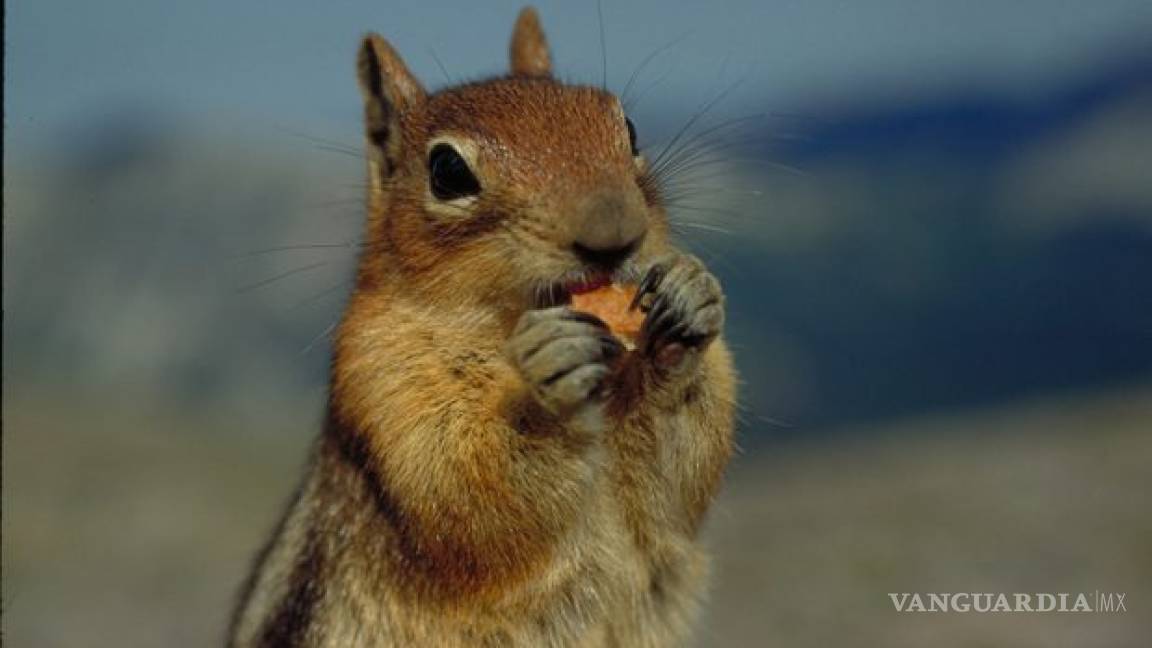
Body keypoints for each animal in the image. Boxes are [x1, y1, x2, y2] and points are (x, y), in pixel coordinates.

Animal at [231, 6, 737, 645]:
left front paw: (687, 305)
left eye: (628, 127)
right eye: (447, 170)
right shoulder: (385, 390)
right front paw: (547, 385)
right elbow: (470, 489)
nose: (615, 232)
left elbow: (680, 482)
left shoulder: (664, 504)